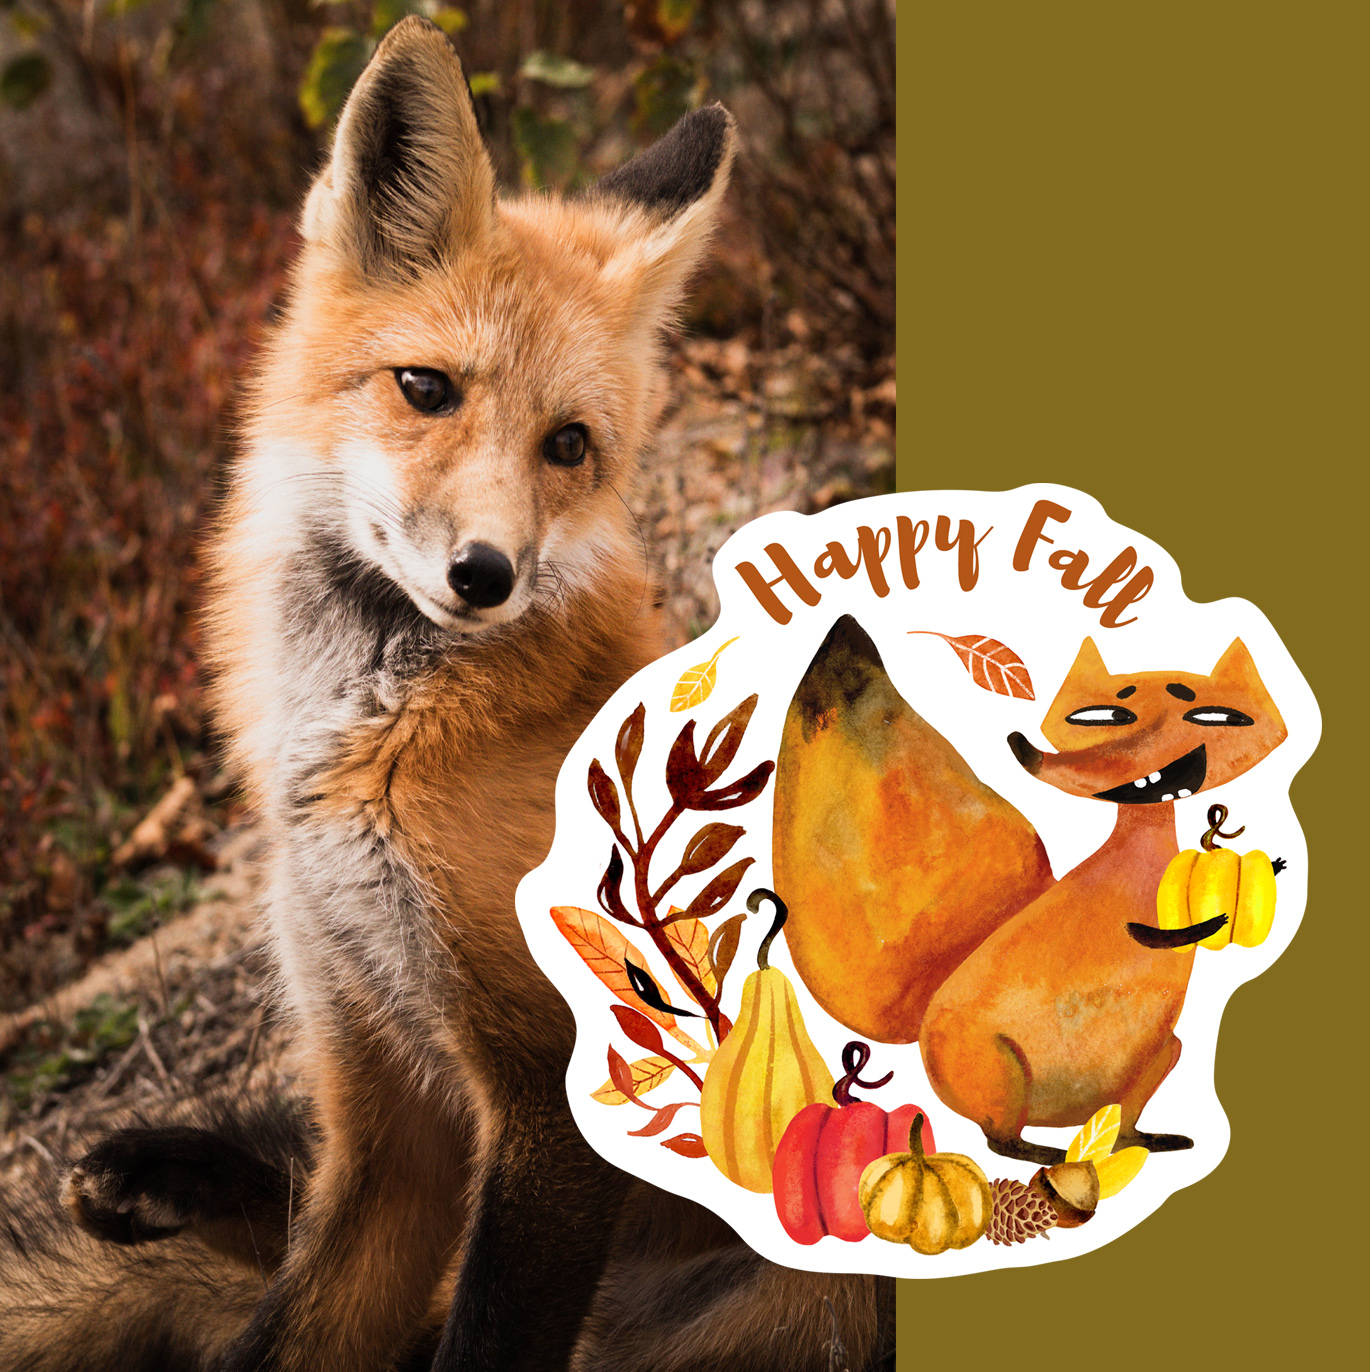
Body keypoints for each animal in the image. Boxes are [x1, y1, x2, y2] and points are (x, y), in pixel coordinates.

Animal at [0, 17, 889, 1372]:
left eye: (567, 445)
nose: (485, 573)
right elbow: (293, 1319)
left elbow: (479, 1330)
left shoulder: (551, 1097)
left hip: (790, 1304)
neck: (373, 748)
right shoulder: (379, 1088)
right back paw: (154, 1174)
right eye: (424, 387)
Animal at [919, 634, 1289, 1164]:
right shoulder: (1132, 923)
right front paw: (1212, 921)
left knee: (1123, 1122)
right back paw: (1047, 1153)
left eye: (1216, 717)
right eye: (1101, 717)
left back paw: (1138, 1140)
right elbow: (1153, 934)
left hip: (1160, 1054)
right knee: (998, 1138)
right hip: (999, 1068)